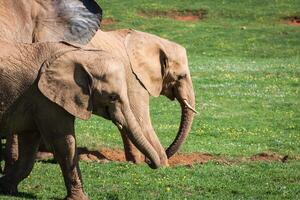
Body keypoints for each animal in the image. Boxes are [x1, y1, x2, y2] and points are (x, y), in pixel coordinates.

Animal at [0, 39, 162, 199]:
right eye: (112, 97)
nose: (149, 162)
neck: (79, 54)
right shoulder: (45, 98)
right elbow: (63, 143)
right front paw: (80, 198)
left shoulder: (37, 101)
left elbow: (29, 148)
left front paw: (7, 189)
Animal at [86, 29, 197, 164]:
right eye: (181, 76)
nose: (147, 161)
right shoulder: (134, 79)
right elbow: (140, 120)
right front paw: (163, 164)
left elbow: (126, 121)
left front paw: (135, 162)